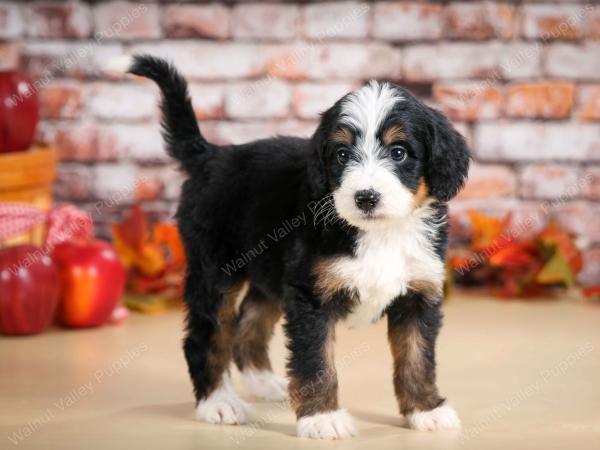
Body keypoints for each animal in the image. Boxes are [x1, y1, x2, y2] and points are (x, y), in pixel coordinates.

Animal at [111, 53, 468, 440]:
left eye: (399, 152)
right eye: (342, 155)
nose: (365, 198)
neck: (380, 233)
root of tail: (211, 155)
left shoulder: (419, 293)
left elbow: (417, 357)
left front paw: (426, 410)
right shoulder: (310, 296)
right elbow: (316, 361)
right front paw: (323, 417)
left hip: (269, 271)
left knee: (248, 324)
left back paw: (264, 382)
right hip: (214, 270)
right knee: (205, 335)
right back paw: (218, 402)